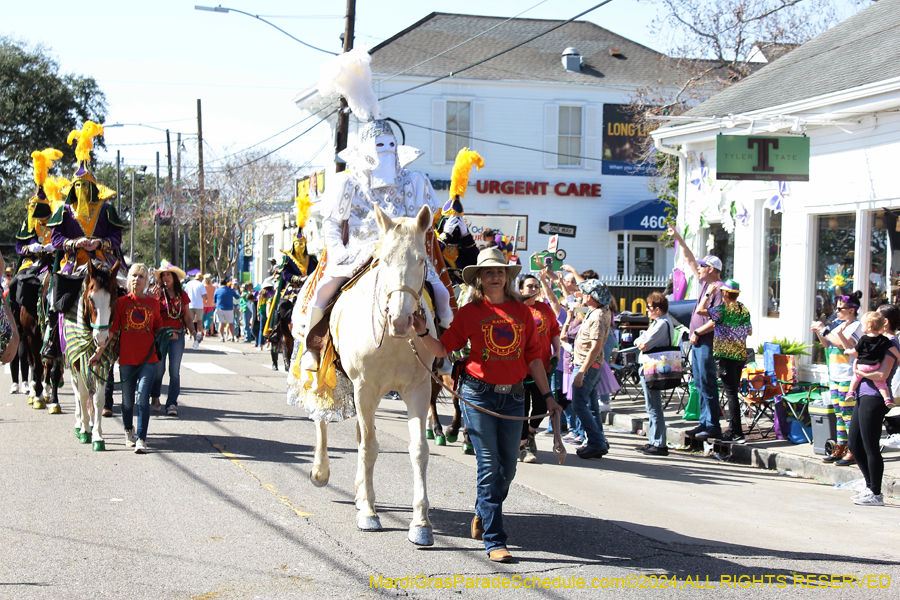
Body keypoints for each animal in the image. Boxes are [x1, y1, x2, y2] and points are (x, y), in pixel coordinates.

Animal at [63, 260, 118, 452]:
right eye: (90, 299)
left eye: (114, 298)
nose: (101, 338)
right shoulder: (77, 359)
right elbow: (83, 394)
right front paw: (86, 430)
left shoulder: (103, 362)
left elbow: (98, 399)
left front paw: (98, 436)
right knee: (76, 390)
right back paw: (79, 423)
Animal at [308, 204, 438, 548]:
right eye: (385, 259)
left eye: (422, 259)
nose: (402, 321)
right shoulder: (364, 388)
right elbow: (369, 447)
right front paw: (368, 512)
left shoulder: (418, 390)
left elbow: (418, 450)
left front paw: (421, 523)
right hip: (327, 377)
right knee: (321, 419)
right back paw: (320, 471)